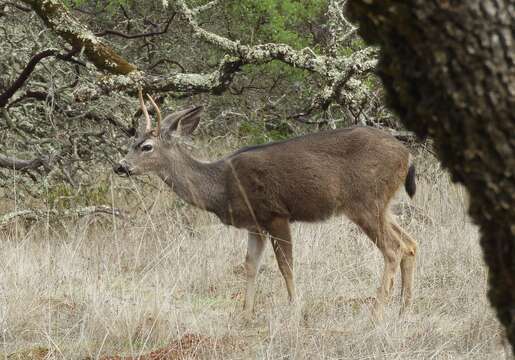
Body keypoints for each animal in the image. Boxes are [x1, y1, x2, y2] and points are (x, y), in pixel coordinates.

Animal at [114, 88, 420, 320]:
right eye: (132, 142)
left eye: (146, 147)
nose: (120, 166)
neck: (221, 186)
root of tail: (407, 155)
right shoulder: (255, 224)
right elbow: (251, 265)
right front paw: (245, 313)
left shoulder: (275, 213)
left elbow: (286, 265)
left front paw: (295, 309)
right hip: (382, 204)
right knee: (410, 243)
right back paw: (404, 309)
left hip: (365, 200)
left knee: (393, 249)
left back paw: (377, 313)